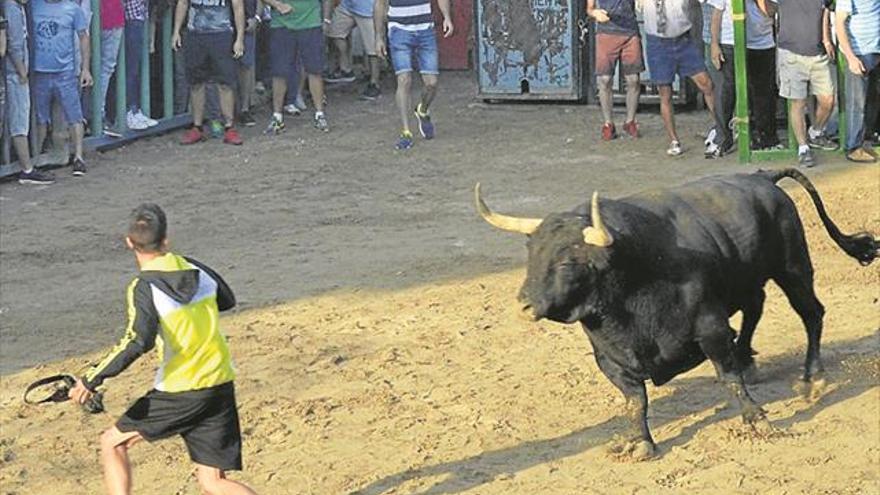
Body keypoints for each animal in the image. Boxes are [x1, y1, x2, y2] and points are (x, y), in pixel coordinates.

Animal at [478, 170, 876, 462]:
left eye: (568, 260)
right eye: (532, 252)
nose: (524, 304)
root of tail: (761, 176)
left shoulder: (711, 328)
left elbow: (728, 376)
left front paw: (757, 420)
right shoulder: (609, 358)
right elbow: (635, 400)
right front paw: (640, 442)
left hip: (792, 267)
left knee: (811, 313)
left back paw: (813, 377)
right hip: (750, 277)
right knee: (755, 306)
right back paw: (750, 359)